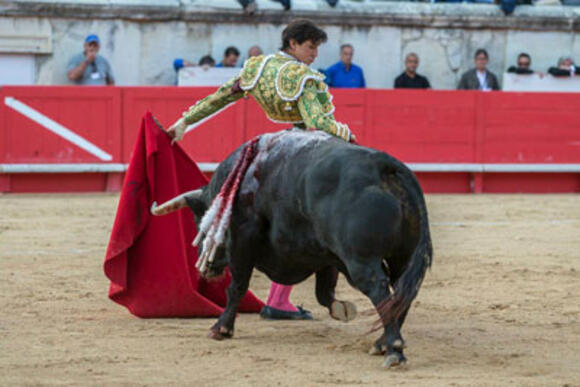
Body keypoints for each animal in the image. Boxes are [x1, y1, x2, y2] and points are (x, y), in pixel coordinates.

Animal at [152, 130, 432, 366]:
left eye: (200, 223)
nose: (205, 268)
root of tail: (382, 165)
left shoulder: (243, 237)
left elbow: (237, 286)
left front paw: (221, 328)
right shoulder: (327, 255)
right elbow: (324, 291)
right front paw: (341, 309)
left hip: (361, 260)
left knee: (380, 289)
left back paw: (393, 348)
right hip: (402, 257)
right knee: (401, 293)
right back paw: (381, 343)